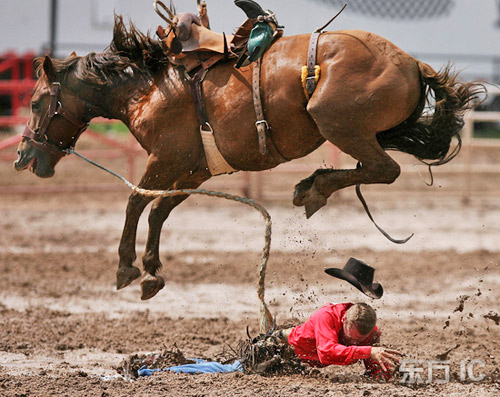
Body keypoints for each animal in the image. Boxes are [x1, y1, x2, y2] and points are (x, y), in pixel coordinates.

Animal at [14, 7, 484, 298]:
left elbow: (136, 201)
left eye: (35, 103)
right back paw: (312, 186)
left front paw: (127, 268)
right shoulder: (194, 171)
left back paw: (313, 188)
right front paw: (151, 271)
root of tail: (413, 64)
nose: (23, 158)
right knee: (377, 167)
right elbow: (161, 210)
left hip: (338, 122)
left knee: (384, 170)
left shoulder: (164, 159)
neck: (146, 88)